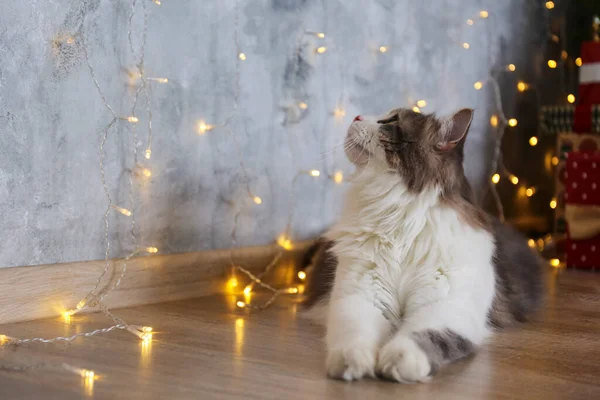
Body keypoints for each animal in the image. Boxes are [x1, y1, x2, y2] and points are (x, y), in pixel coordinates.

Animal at [304, 108, 544, 382]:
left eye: (391, 121)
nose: (356, 117)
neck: (400, 219)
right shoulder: (360, 294)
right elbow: (354, 334)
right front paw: (351, 362)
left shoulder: (446, 306)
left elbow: (423, 336)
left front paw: (398, 360)